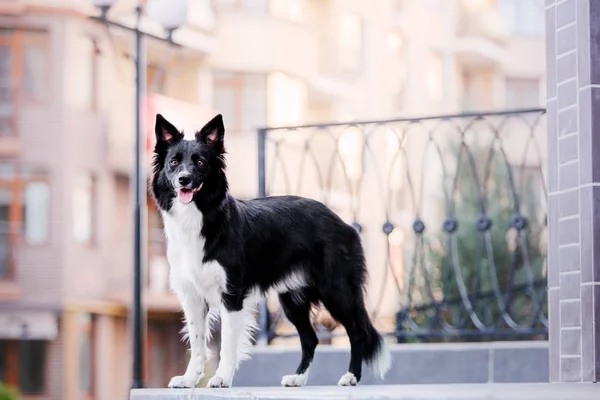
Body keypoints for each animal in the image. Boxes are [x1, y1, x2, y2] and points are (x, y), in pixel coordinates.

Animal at [152, 112, 392, 388]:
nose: (184, 179)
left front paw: (221, 378)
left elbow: (228, 345)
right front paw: (190, 379)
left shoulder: (232, 295)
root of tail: (343, 223)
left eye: (200, 162)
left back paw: (351, 376)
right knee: (310, 338)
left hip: (337, 290)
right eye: (173, 162)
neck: (201, 218)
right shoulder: (191, 296)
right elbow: (198, 343)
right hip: (293, 300)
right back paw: (298, 379)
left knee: (357, 331)